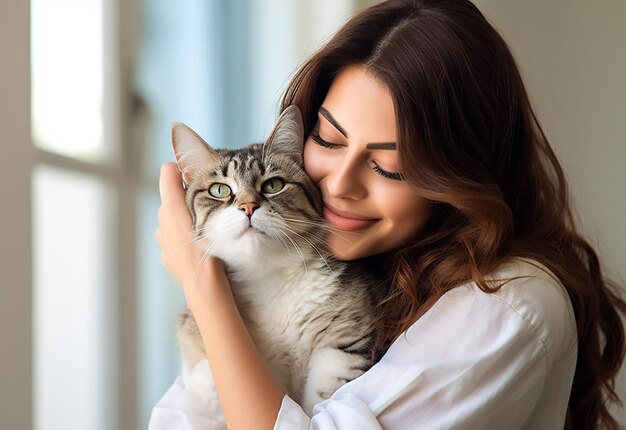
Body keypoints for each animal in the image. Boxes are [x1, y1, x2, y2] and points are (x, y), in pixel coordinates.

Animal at [171, 105, 376, 424]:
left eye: (273, 185)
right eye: (219, 190)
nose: (248, 207)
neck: (267, 276)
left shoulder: (343, 346)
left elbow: (322, 402)